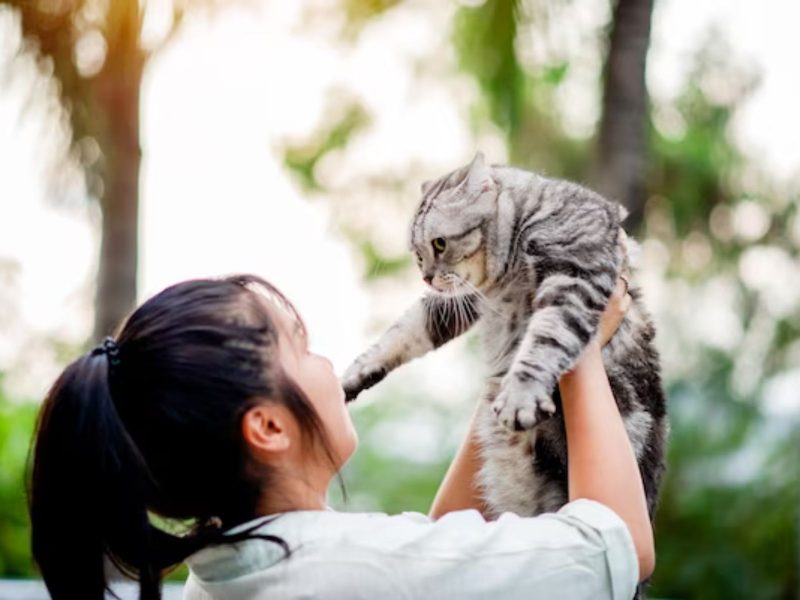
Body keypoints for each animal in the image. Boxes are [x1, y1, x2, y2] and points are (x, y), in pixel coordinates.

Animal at [344, 152, 668, 536]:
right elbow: (405, 330)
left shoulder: (574, 276)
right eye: (418, 253)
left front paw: (519, 396)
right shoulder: (460, 301)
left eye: (439, 243)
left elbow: (546, 338)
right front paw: (354, 375)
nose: (426, 276)